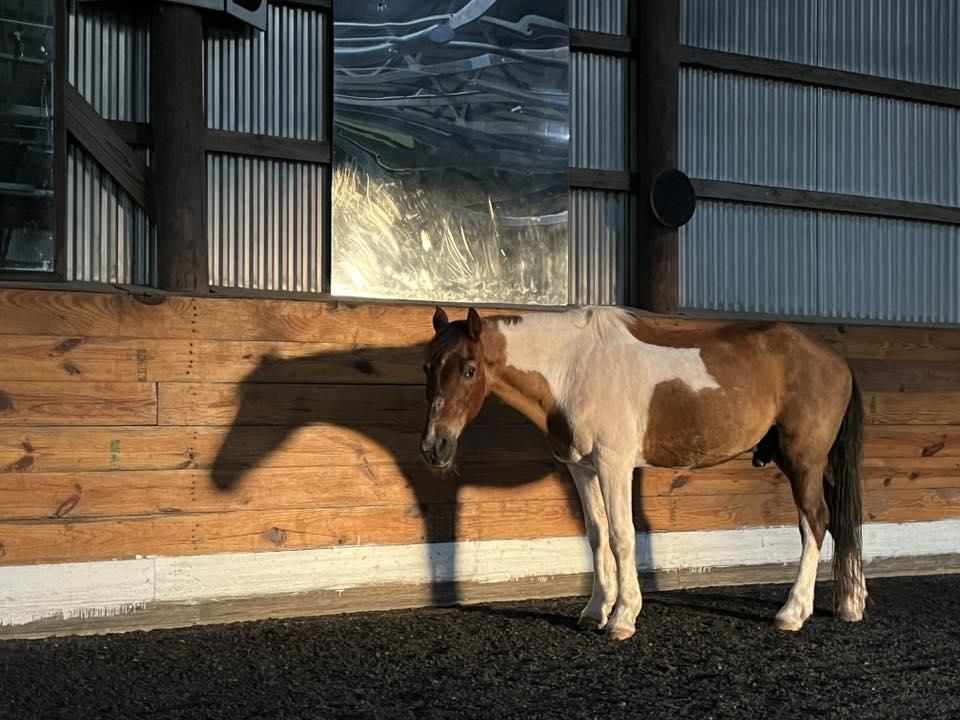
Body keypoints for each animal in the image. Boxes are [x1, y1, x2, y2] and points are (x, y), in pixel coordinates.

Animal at [420, 305, 866, 641]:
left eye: (469, 370)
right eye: (428, 368)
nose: (434, 447)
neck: (572, 367)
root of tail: (837, 360)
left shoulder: (613, 465)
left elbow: (622, 536)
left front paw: (622, 617)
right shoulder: (581, 468)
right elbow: (597, 535)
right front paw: (595, 611)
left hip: (802, 461)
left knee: (815, 522)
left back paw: (793, 611)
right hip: (817, 464)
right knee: (839, 520)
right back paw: (851, 603)